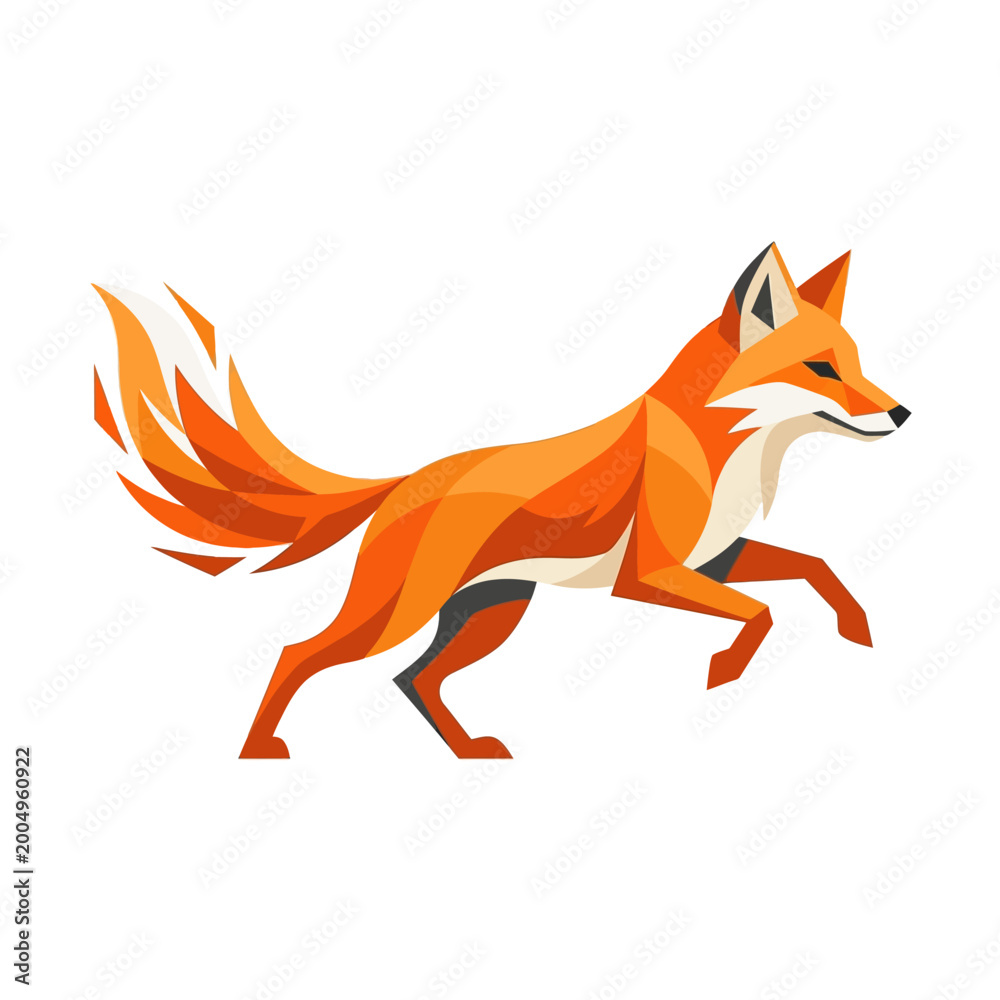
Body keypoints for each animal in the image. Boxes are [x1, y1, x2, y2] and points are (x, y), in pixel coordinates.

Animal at [94, 243, 908, 760]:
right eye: (821, 369)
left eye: (856, 363)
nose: (902, 414)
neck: (734, 452)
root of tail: (407, 480)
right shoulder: (648, 576)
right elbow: (762, 614)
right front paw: (725, 670)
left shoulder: (716, 560)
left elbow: (816, 570)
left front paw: (859, 626)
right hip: (398, 613)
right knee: (302, 654)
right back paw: (260, 748)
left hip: (492, 613)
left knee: (412, 679)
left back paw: (469, 752)